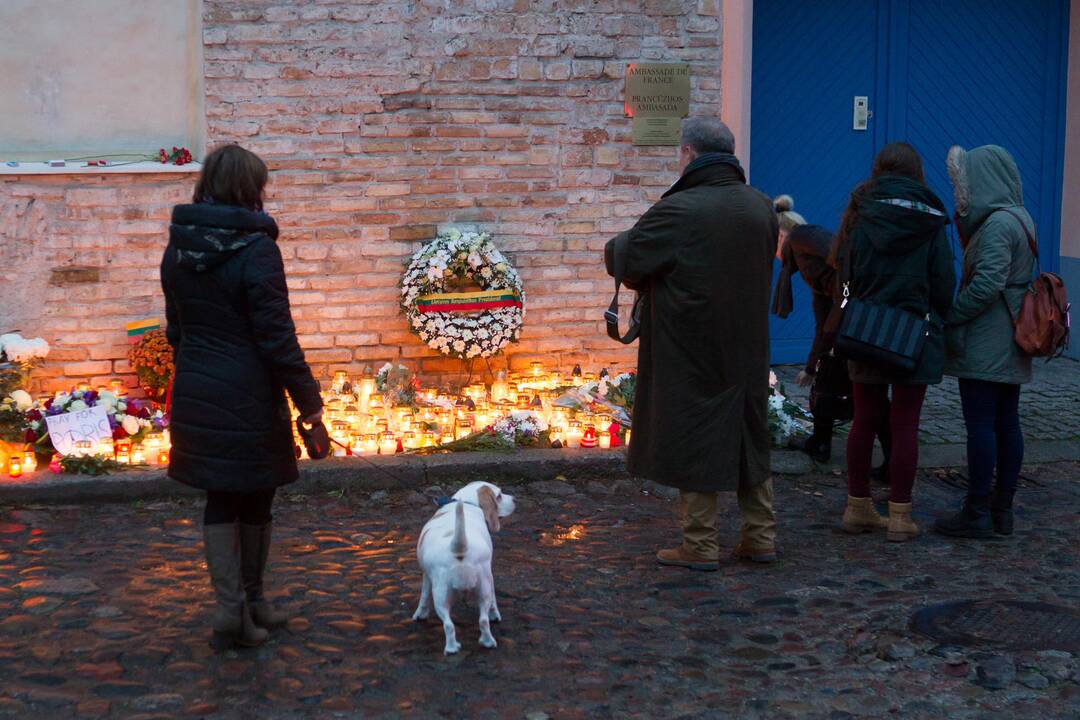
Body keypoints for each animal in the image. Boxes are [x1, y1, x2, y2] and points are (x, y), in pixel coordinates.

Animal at [410, 481, 516, 656]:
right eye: (499, 495)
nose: (515, 499)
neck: (467, 502)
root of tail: (459, 548)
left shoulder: (426, 575)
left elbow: (424, 597)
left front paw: (420, 614)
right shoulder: (490, 575)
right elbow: (494, 601)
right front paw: (495, 615)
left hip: (441, 596)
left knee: (449, 624)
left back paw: (452, 648)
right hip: (482, 589)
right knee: (482, 620)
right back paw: (486, 642)